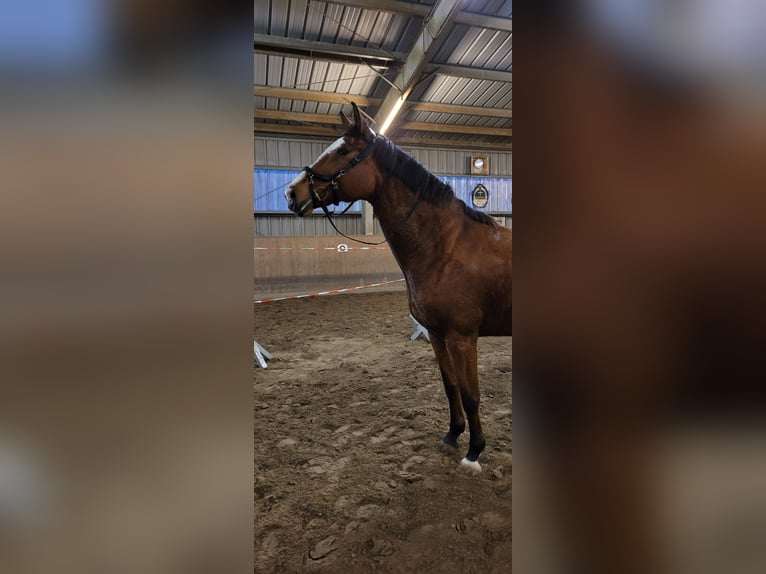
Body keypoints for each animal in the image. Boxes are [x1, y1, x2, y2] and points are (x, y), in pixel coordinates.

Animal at [284, 102, 512, 472]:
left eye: (343, 151)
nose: (292, 193)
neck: (445, 246)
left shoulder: (463, 339)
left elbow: (471, 395)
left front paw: (474, 451)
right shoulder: (436, 334)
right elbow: (451, 387)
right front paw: (452, 435)